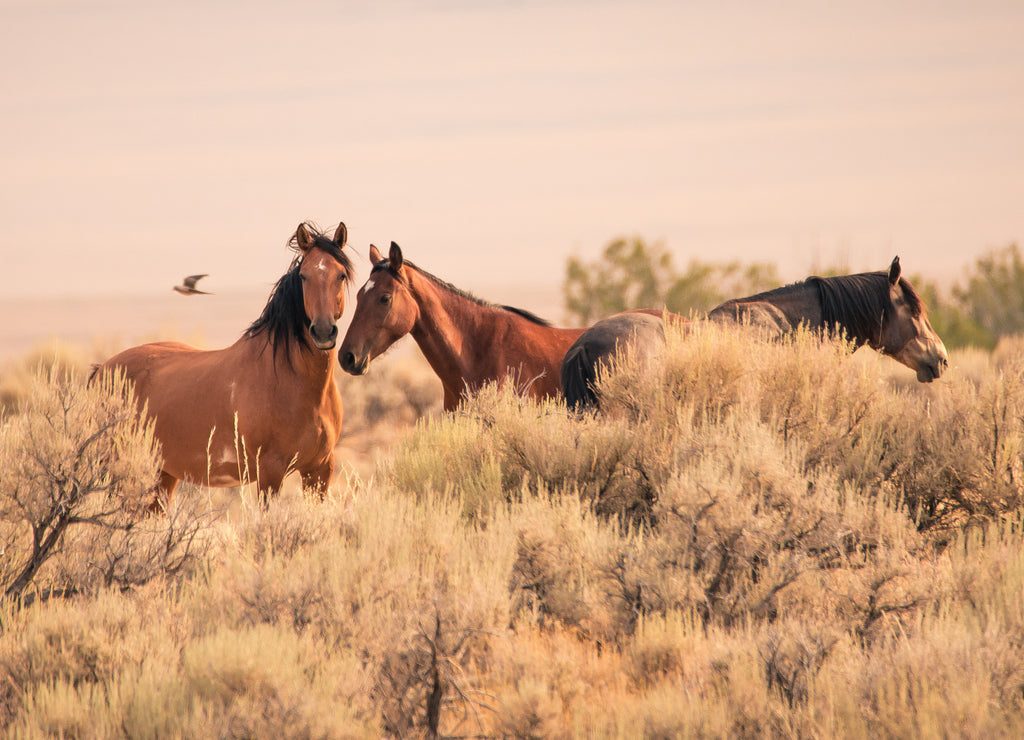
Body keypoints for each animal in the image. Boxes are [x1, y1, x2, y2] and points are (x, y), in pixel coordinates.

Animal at [92, 222, 353, 508]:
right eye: (304, 276)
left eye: (341, 275)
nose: (323, 331)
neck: (294, 383)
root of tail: (103, 368)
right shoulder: (270, 472)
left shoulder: (319, 471)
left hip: (163, 473)